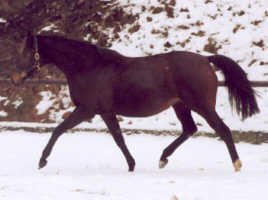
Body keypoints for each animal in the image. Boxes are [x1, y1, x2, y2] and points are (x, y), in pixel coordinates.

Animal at [11, 32, 260, 172]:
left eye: (26, 52)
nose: (14, 78)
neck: (89, 67)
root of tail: (206, 59)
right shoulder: (105, 112)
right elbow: (119, 139)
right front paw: (132, 165)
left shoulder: (87, 110)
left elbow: (58, 130)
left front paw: (42, 161)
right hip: (181, 105)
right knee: (190, 129)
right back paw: (163, 159)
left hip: (202, 105)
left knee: (222, 129)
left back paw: (237, 164)